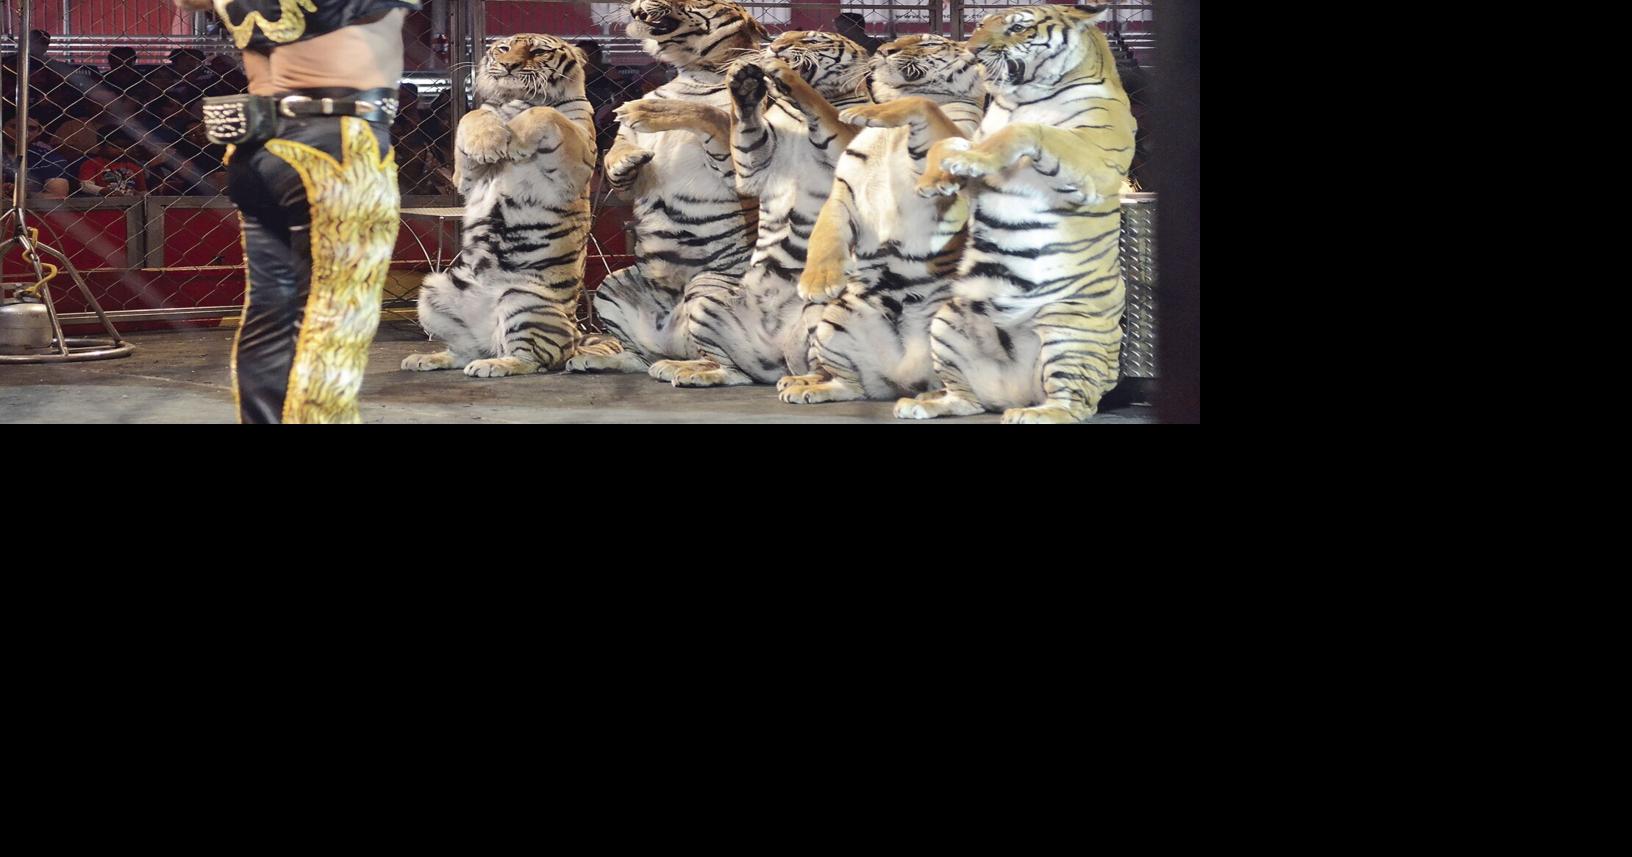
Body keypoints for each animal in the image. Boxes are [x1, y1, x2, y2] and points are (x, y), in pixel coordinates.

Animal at [400, 33, 603, 378]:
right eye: (504, 49)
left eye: (538, 51)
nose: (509, 66)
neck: (515, 99)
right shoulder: (464, 177)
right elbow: (471, 115)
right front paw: (488, 143)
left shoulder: (578, 162)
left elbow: (545, 113)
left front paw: (515, 137)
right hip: (434, 289)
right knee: (467, 350)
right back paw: (428, 358)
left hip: (523, 298)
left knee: (538, 359)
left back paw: (496, 364)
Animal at [562, 0, 767, 375]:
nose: (634, 8)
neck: (694, 74)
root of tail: (678, 344)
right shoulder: (626, 142)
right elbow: (618, 152)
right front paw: (624, 163)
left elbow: (706, 112)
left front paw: (648, 109)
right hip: (612, 284)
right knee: (641, 359)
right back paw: (602, 359)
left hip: (709, 288)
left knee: (734, 368)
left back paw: (690, 371)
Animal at [613, 30, 873, 387]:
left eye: (813, 39)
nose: (776, 44)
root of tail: (778, 353)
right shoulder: (754, 167)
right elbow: (741, 126)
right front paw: (744, 84)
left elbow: (817, 108)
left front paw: (780, 71)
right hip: (700, 292)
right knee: (734, 369)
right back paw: (681, 367)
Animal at [773, 34, 986, 406]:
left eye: (928, 42)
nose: (886, 48)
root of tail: (904, 377)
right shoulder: (844, 192)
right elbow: (824, 236)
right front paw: (818, 280)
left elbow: (922, 104)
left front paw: (868, 111)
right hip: (836, 320)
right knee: (853, 387)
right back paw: (809, 386)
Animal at [895, 4, 1137, 423]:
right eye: (979, 24)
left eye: (1018, 28)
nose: (973, 51)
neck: (1021, 100)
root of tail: (1015, 392)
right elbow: (948, 143)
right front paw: (935, 179)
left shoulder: (1093, 156)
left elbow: (1030, 131)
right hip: (947, 321)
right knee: (968, 399)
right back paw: (927, 403)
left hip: (1068, 331)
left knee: (1076, 403)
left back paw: (1040, 413)